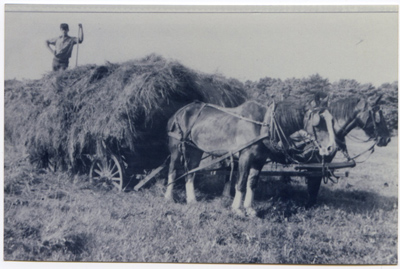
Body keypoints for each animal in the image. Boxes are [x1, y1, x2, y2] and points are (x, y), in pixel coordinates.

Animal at [164, 95, 336, 217]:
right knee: (173, 169)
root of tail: (179, 112)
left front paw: (249, 208)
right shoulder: (245, 156)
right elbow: (240, 183)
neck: (265, 123)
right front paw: (237, 209)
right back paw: (168, 197)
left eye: (332, 121)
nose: (331, 148)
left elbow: (252, 183)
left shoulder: (259, 160)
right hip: (176, 148)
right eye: (318, 122)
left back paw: (192, 199)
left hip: (195, 150)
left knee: (190, 172)